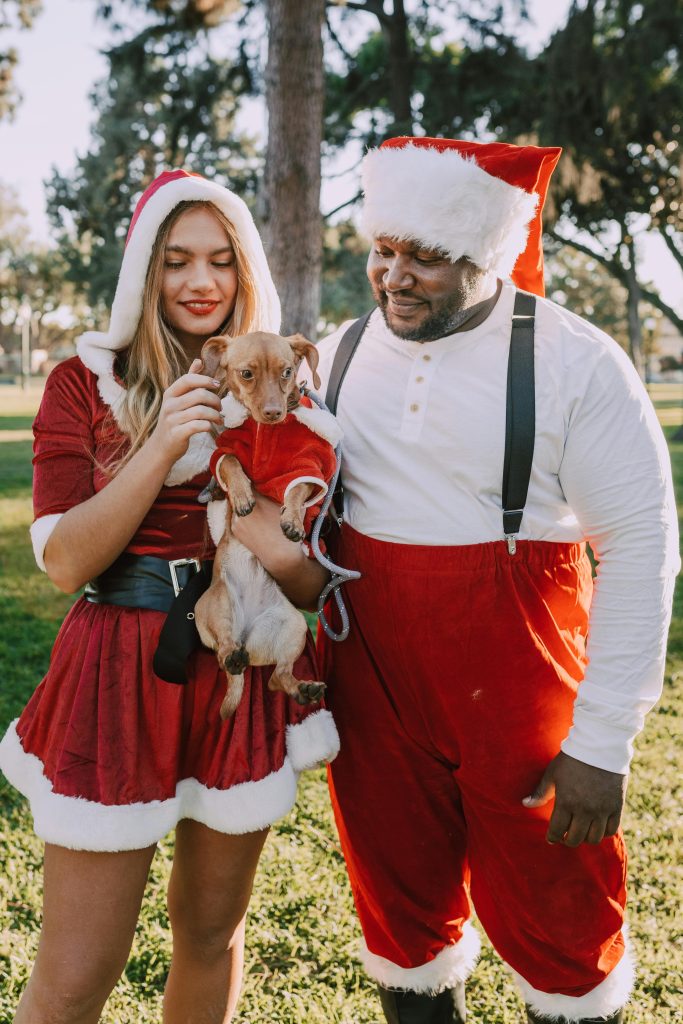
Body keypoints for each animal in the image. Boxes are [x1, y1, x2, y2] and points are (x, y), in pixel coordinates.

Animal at [192, 331, 342, 716]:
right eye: (246, 374)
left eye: (287, 371)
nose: (274, 412)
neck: (264, 430)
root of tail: (248, 636)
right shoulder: (227, 449)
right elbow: (229, 462)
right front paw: (241, 494)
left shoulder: (309, 464)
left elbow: (298, 488)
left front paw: (291, 519)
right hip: (215, 607)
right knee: (224, 651)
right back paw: (234, 658)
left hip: (294, 628)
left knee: (277, 677)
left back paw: (303, 690)